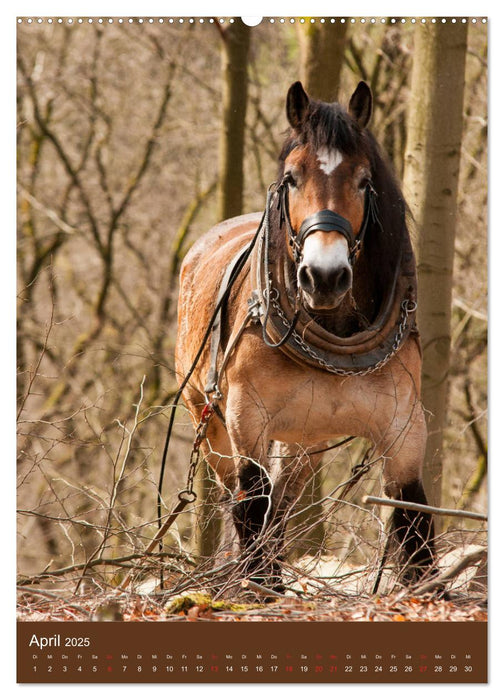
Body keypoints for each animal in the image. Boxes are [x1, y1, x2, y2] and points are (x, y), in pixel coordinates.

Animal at [176, 83, 438, 596]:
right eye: (292, 178)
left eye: (363, 180)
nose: (325, 276)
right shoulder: (246, 418)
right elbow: (251, 504)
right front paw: (257, 588)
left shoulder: (404, 424)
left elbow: (412, 514)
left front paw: (428, 591)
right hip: (210, 422)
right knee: (239, 499)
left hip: (303, 439)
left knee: (282, 501)